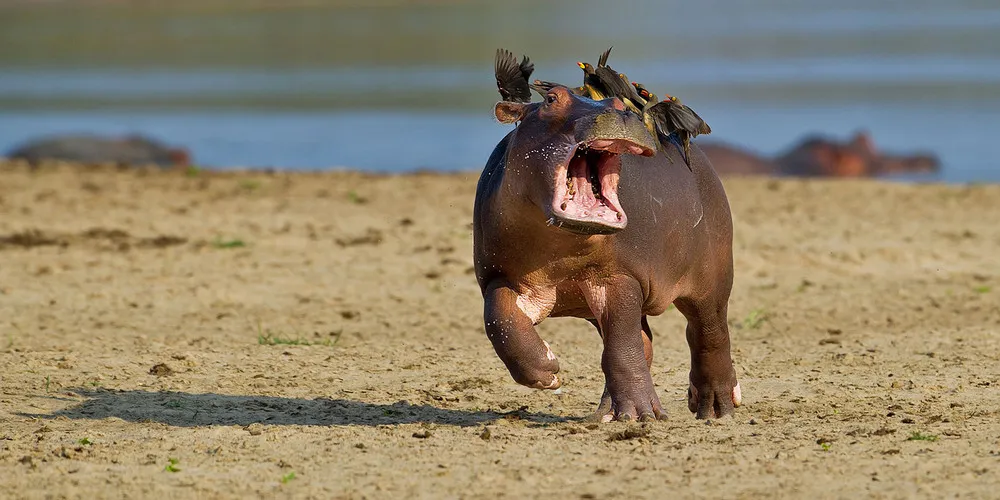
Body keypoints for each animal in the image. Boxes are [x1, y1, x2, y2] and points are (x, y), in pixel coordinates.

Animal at [473, 85, 741, 421]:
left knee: (708, 333)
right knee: (643, 343)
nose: (621, 114)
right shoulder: (500, 277)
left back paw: (715, 408)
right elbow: (500, 320)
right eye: (550, 99)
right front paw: (548, 372)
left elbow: (623, 345)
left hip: (712, 280)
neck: (560, 249)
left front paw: (642, 415)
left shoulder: (620, 276)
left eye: (618, 103)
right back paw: (606, 413)